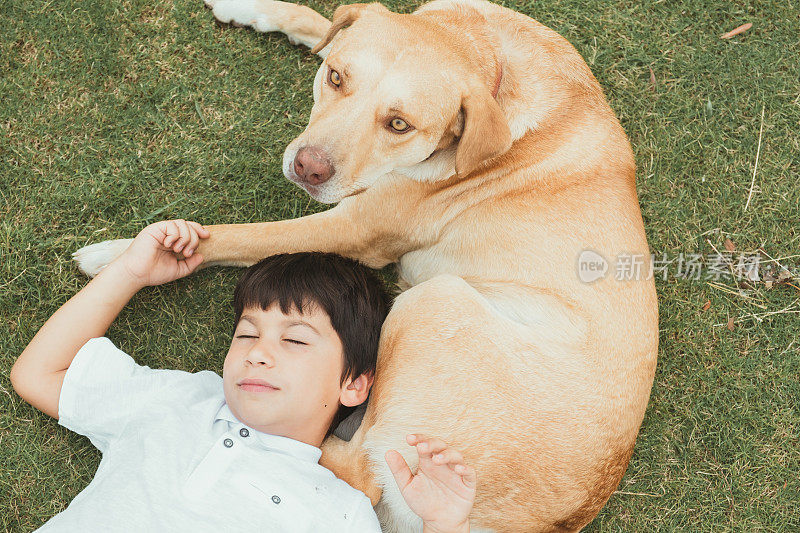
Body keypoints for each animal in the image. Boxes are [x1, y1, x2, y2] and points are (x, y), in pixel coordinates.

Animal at [76, 2, 656, 528]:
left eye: (399, 124)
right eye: (335, 78)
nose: (308, 168)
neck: (488, 55)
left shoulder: (353, 227)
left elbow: (242, 236)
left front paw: (130, 253)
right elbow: (318, 20)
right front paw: (254, 9)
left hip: (437, 302)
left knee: (361, 468)